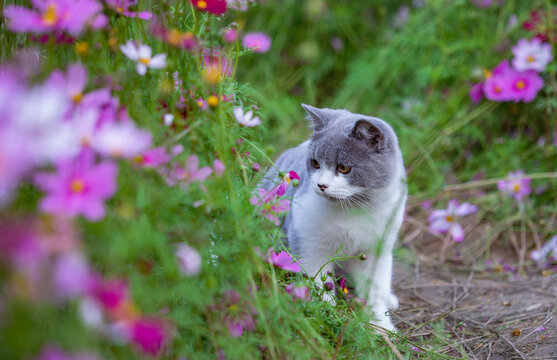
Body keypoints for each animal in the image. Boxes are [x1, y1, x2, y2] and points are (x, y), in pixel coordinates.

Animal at [262, 104, 406, 332]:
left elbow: (375, 292)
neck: (354, 208)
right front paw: (325, 316)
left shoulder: (377, 248)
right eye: (315, 163)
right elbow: (317, 285)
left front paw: (382, 326)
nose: (321, 185)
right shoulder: (310, 245)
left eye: (344, 167)